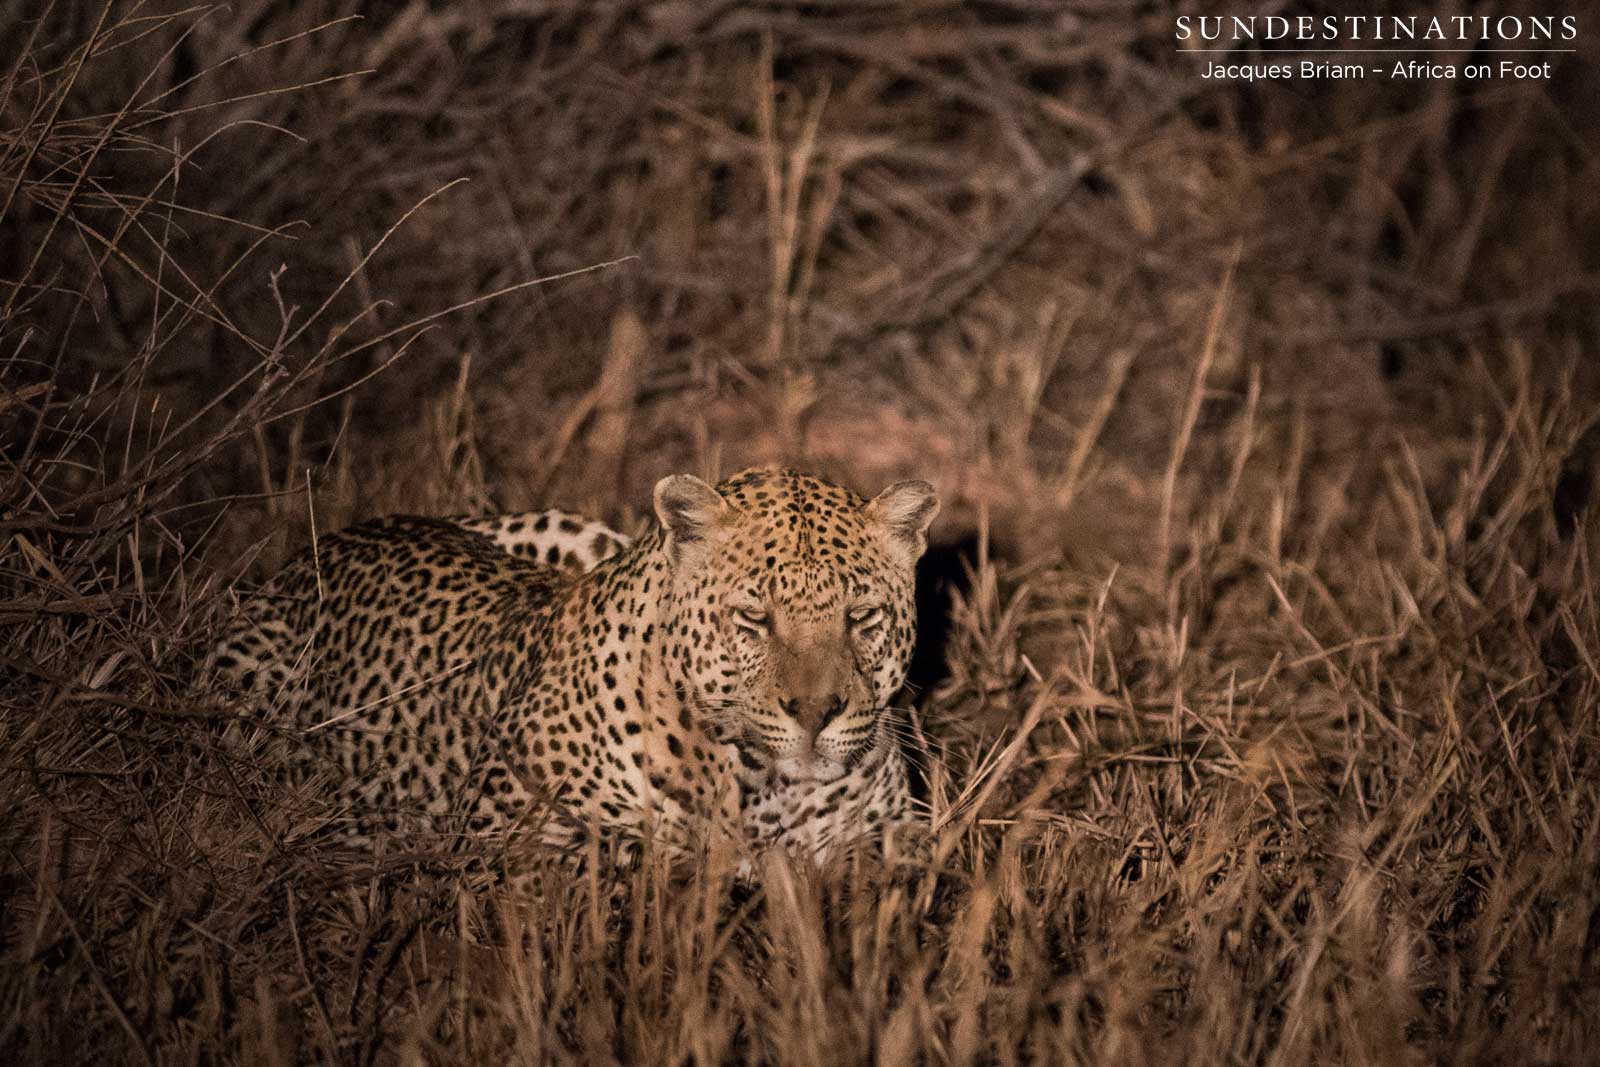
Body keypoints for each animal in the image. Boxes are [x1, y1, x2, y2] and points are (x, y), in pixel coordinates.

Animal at [210, 466, 939, 868]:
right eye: (754, 618)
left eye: (862, 616)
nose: (816, 715)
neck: (765, 785)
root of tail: (309, 551)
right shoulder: (503, 841)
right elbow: (632, 856)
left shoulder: (893, 832)